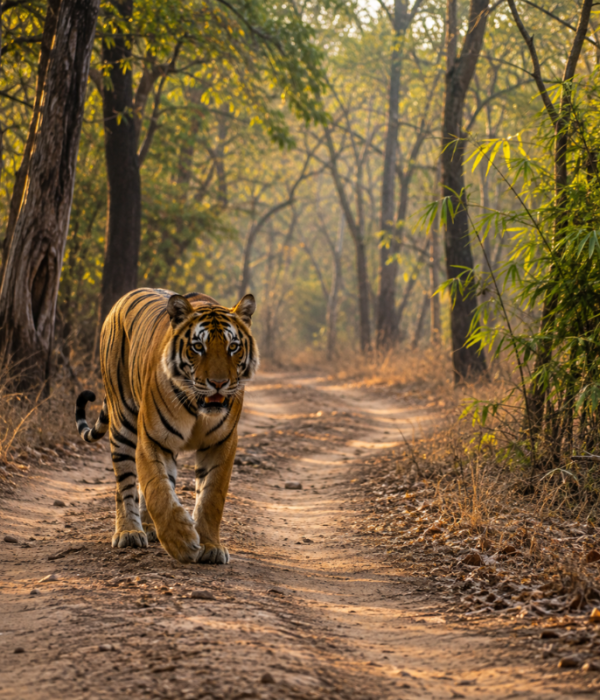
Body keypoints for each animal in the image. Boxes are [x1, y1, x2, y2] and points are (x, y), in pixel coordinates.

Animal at [75, 288, 258, 564]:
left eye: (233, 347)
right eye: (198, 347)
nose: (218, 383)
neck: (198, 407)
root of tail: (124, 297)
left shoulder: (221, 443)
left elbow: (211, 497)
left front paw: (211, 546)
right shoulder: (153, 438)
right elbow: (157, 490)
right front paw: (181, 541)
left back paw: (149, 528)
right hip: (122, 420)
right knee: (125, 484)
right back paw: (130, 532)